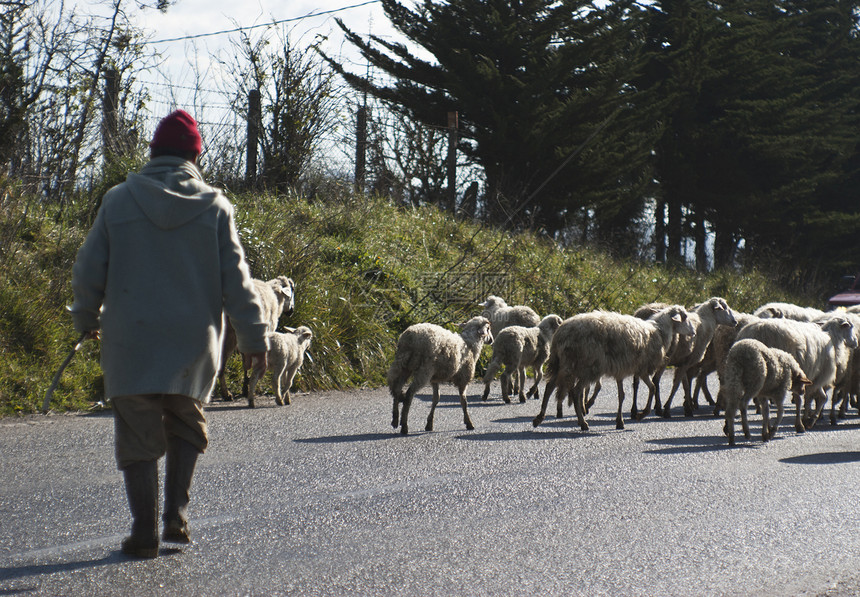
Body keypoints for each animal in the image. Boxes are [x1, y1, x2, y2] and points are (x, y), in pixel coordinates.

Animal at [532, 304, 700, 430]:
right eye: (685, 317)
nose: (694, 332)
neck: (660, 331)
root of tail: (561, 333)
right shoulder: (642, 369)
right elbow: (652, 388)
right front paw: (641, 414)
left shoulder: (621, 369)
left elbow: (621, 395)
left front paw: (620, 422)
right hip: (587, 366)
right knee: (576, 391)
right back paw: (583, 423)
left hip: (562, 362)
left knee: (550, 387)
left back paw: (539, 418)